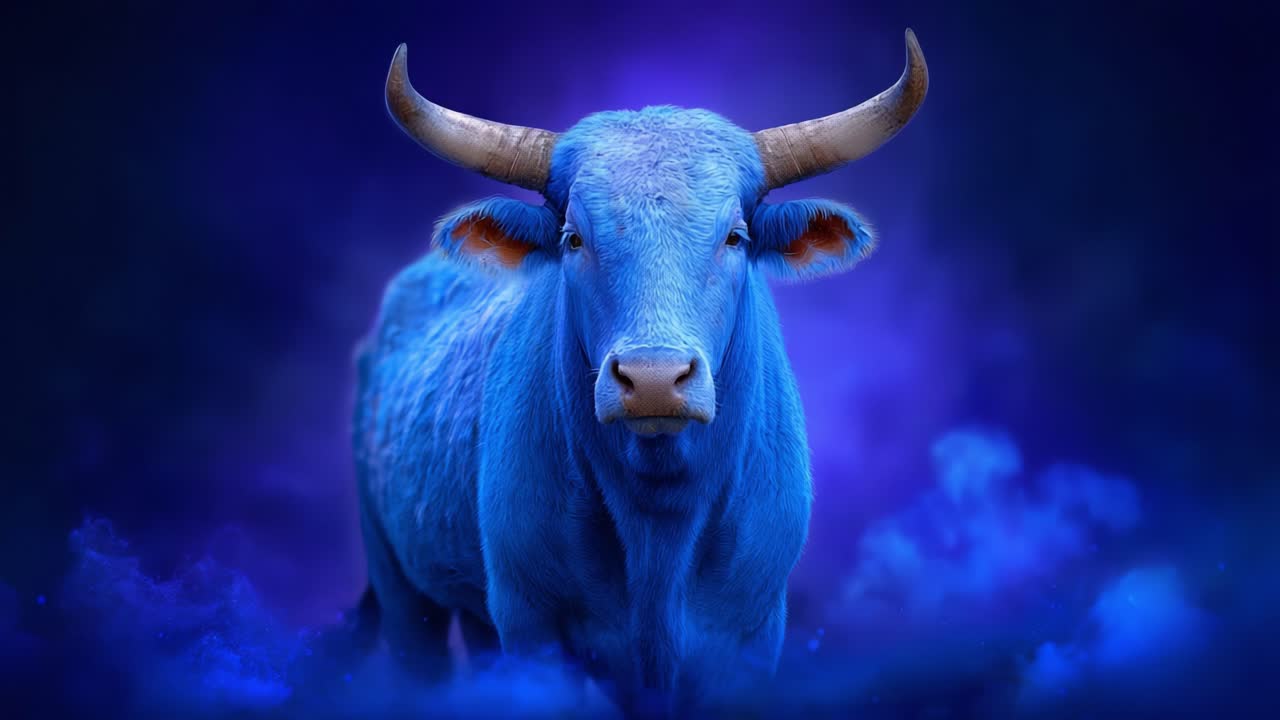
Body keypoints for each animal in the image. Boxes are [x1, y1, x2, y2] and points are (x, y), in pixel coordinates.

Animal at [352, 30, 927, 715]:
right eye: (574, 238)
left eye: (734, 237)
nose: (654, 378)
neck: (658, 527)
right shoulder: (530, 622)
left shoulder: (753, 632)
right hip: (403, 594)